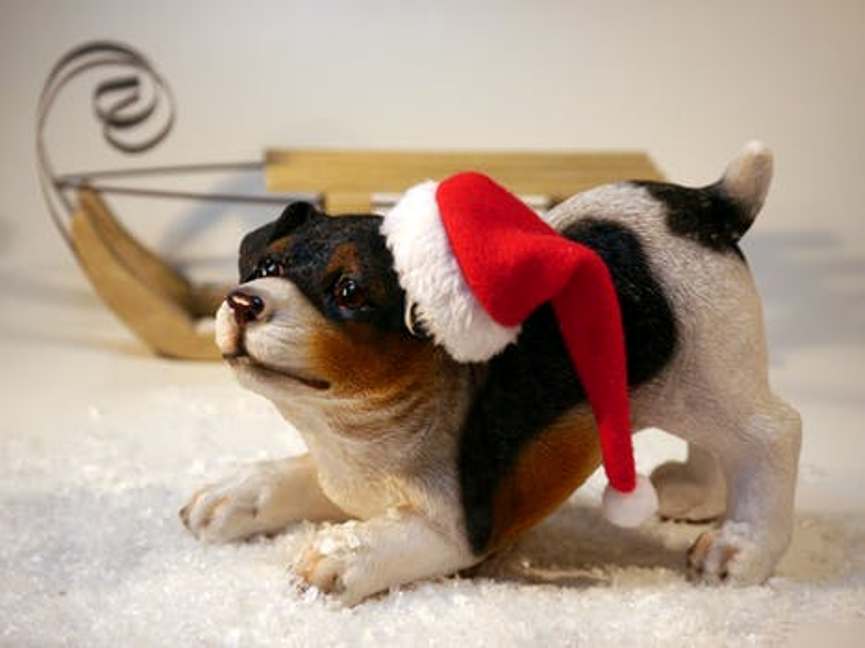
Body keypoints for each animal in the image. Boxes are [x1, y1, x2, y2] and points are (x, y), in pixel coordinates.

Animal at [181, 142, 804, 604]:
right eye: (266, 265)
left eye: (350, 292)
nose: (243, 301)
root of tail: (711, 205)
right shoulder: (350, 472)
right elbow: (303, 475)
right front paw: (235, 494)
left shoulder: (464, 525)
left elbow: (401, 537)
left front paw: (338, 555)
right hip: (699, 371)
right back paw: (696, 494)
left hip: (709, 366)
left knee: (772, 433)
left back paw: (741, 548)